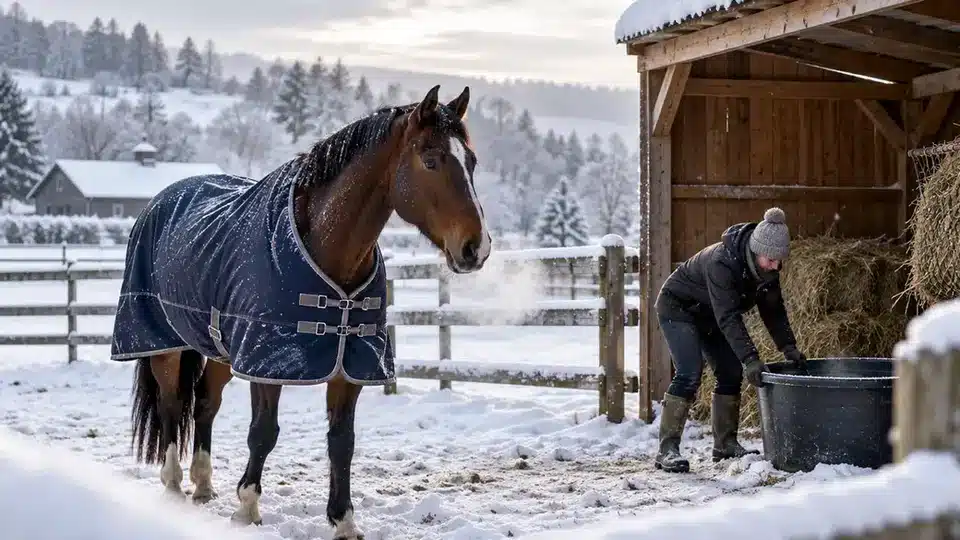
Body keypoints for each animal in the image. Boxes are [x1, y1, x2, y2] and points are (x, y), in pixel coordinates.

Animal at [108, 84, 490, 539]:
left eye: (471, 162)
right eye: (430, 159)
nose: (477, 248)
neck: (325, 248)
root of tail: (159, 202)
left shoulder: (348, 365)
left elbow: (342, 442)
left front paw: (344, 520)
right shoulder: (266, 361)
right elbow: (263, 433)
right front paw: (248, 509)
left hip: (219, 348)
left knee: (204, 404)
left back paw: (202, 484)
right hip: (164, 345)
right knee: (171, 404)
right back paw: (171, 486)